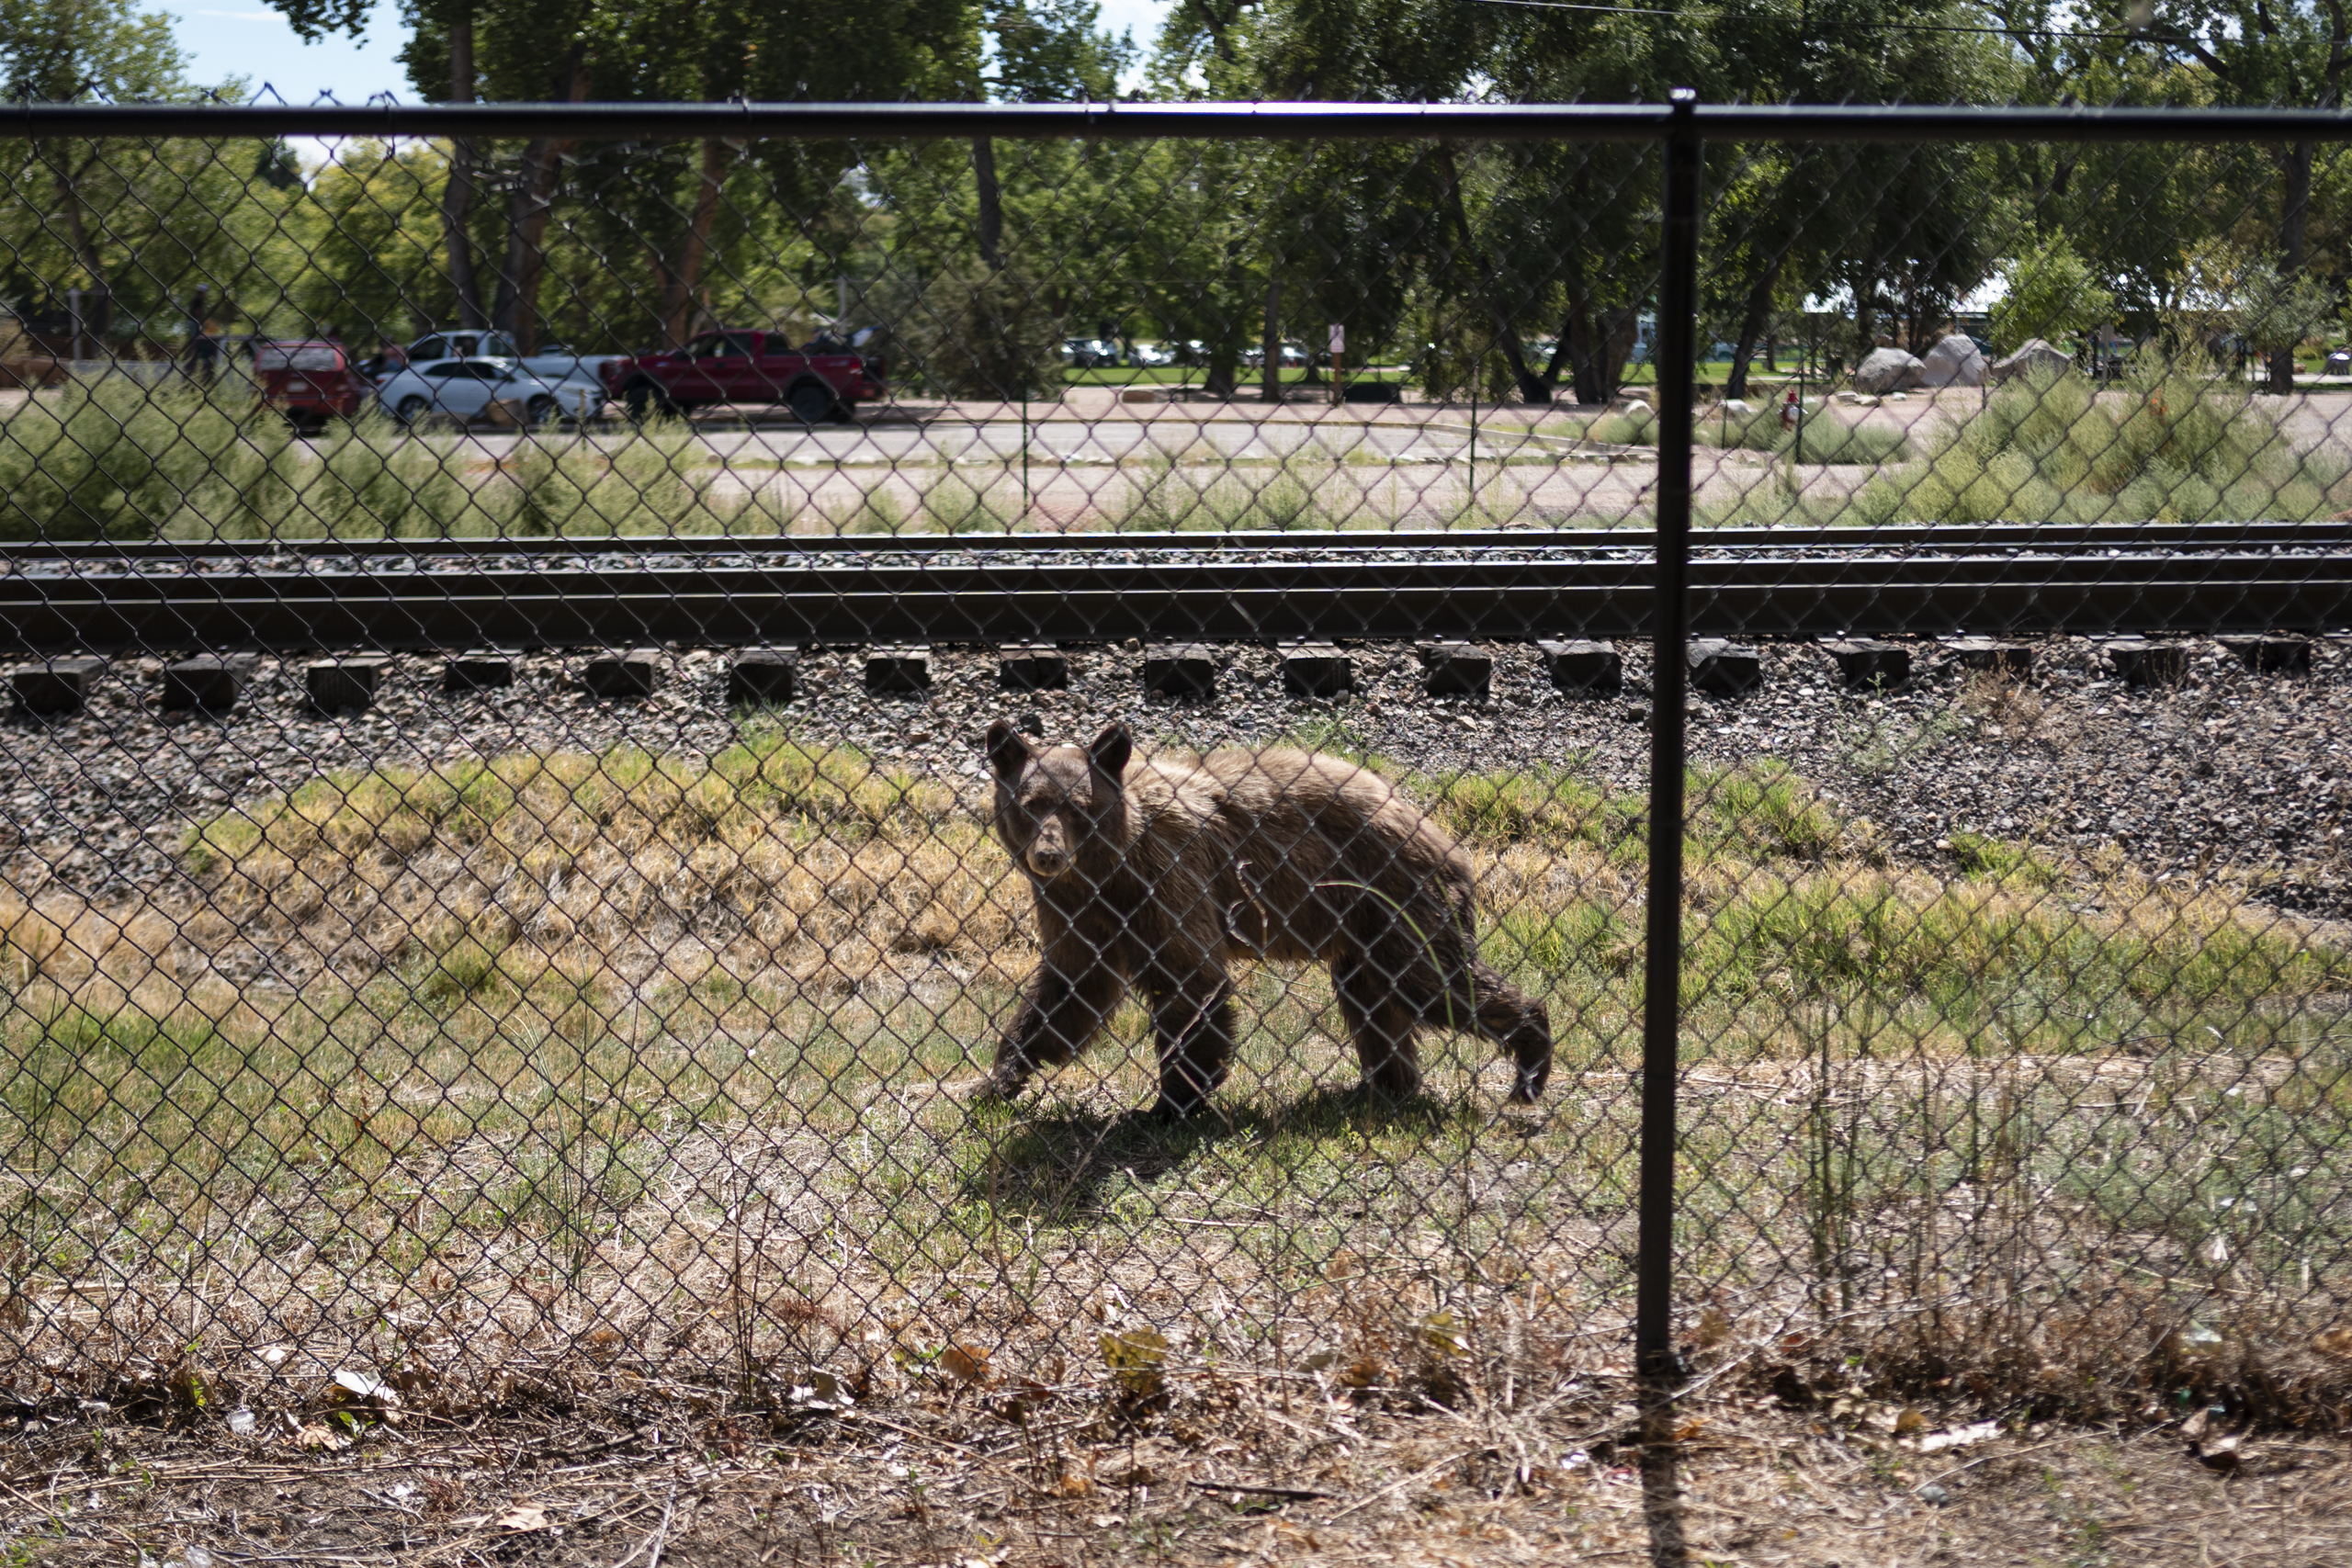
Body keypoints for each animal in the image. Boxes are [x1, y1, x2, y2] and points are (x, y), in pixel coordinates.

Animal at [976, 719, 1552, 1118]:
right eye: (1030, 804)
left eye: (1078, 808)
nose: (1048, 855)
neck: (1107, 870)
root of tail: (1445, 838)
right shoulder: (1076, 909)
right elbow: (1072, 989)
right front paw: (999, 1077)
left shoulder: (1169, 876)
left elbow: (1189, 980)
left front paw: (1168, 1104)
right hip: (1363, 923)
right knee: (1373, 1000)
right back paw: (1384, 1085)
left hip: (1395, 893)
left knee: (1432, 984)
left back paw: (1530, 1056)